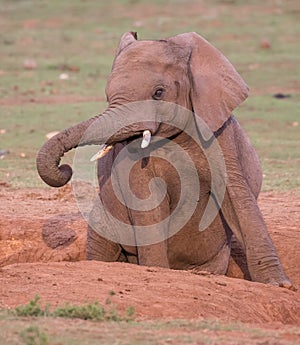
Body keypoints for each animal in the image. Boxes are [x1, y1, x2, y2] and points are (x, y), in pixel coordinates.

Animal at [37, 30, 292, 288]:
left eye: (159, 93)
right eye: (107, 96)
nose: (65, 168)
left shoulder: (221, 137)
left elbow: (237, 196)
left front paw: (279, 285)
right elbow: (145, 201)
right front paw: (157, 270)